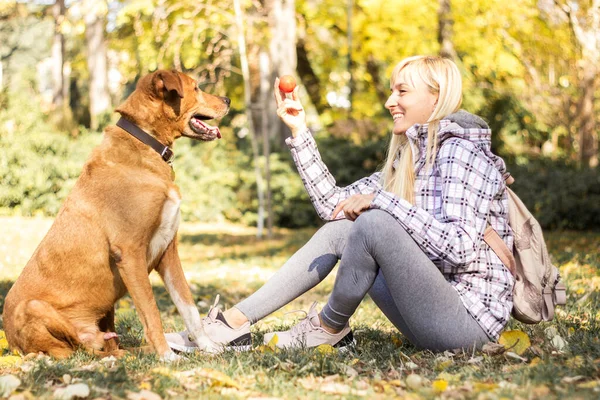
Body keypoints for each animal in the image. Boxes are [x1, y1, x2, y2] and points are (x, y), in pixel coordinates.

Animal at [1, 70, 230, 360]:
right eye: (196, 88)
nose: (228, 100)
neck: (146, 144)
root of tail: (12, 345)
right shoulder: (130, 253)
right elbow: (152, 312)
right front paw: (167, 357)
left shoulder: (168, 252)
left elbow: (189, 308)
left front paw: (208, 347)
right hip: (34, 308)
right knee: (76, 349)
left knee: (104, 343)